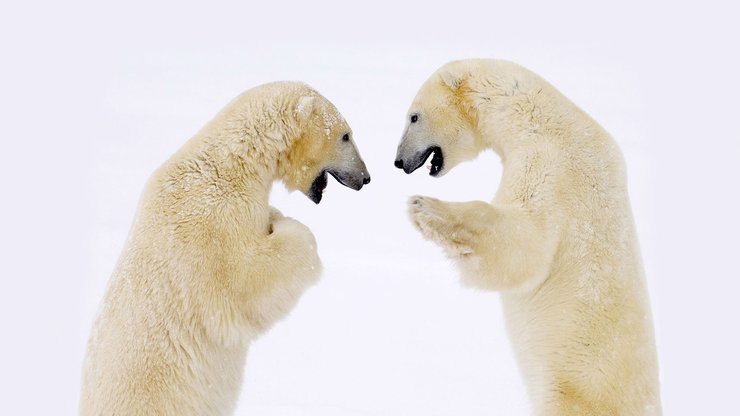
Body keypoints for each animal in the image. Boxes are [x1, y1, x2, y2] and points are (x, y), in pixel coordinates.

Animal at [81, 82, 370, 416]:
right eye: (346, 135)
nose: (365, 177)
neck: (231, 164)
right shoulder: (212, 222)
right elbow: (245, 285)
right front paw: (287, 226)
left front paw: (274, 215)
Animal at [396, 59, 660, 416]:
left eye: (413, 116)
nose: (398, 161)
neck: (539, 116)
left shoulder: (551, 164)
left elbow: (526, 246)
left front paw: (425, 207)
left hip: (573, 391)